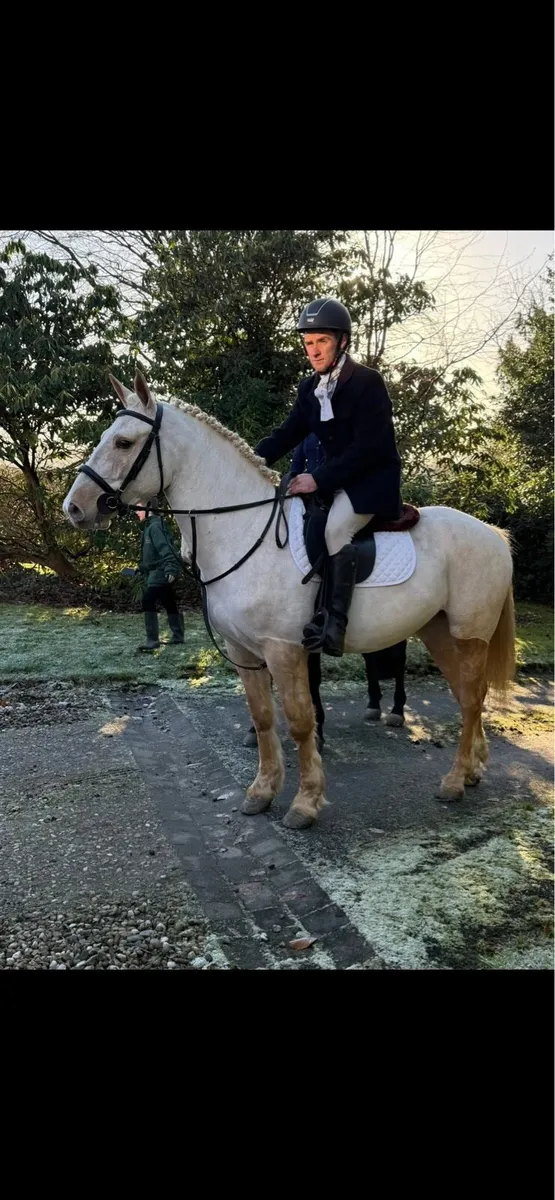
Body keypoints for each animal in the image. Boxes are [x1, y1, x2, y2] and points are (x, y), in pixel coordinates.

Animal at [63, 372, 515, 831]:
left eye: (123, 443)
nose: (75, 508)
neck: (244, 528)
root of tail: (491, 533)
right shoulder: (243, 650)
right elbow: (263, 718)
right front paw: (262, 792)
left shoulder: (284, 650)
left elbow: (300, 721)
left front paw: (305, 802)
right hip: (439, 631)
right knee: (467, 696)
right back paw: (473, 769)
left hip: (469, 635)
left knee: (472, 698)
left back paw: (455, 781)